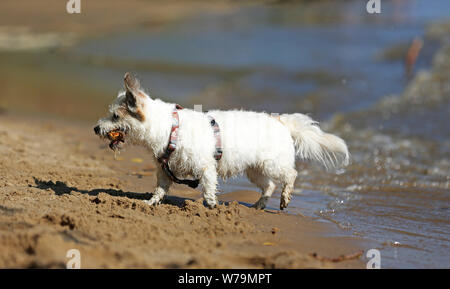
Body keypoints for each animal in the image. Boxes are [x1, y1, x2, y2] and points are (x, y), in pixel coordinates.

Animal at [93, 73, 350, 209]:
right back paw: (259, 205)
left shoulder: (206, 168)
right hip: (255, 170)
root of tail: (280, 121)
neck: (171, 129)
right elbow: (159, 189)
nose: (96, 128)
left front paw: (210, 207)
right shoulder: (164, 171)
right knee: (269, 186)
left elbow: (208, 189)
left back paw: (284, 199)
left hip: (272, 164)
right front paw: (150, 203)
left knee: (290, 176)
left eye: (115, 116)